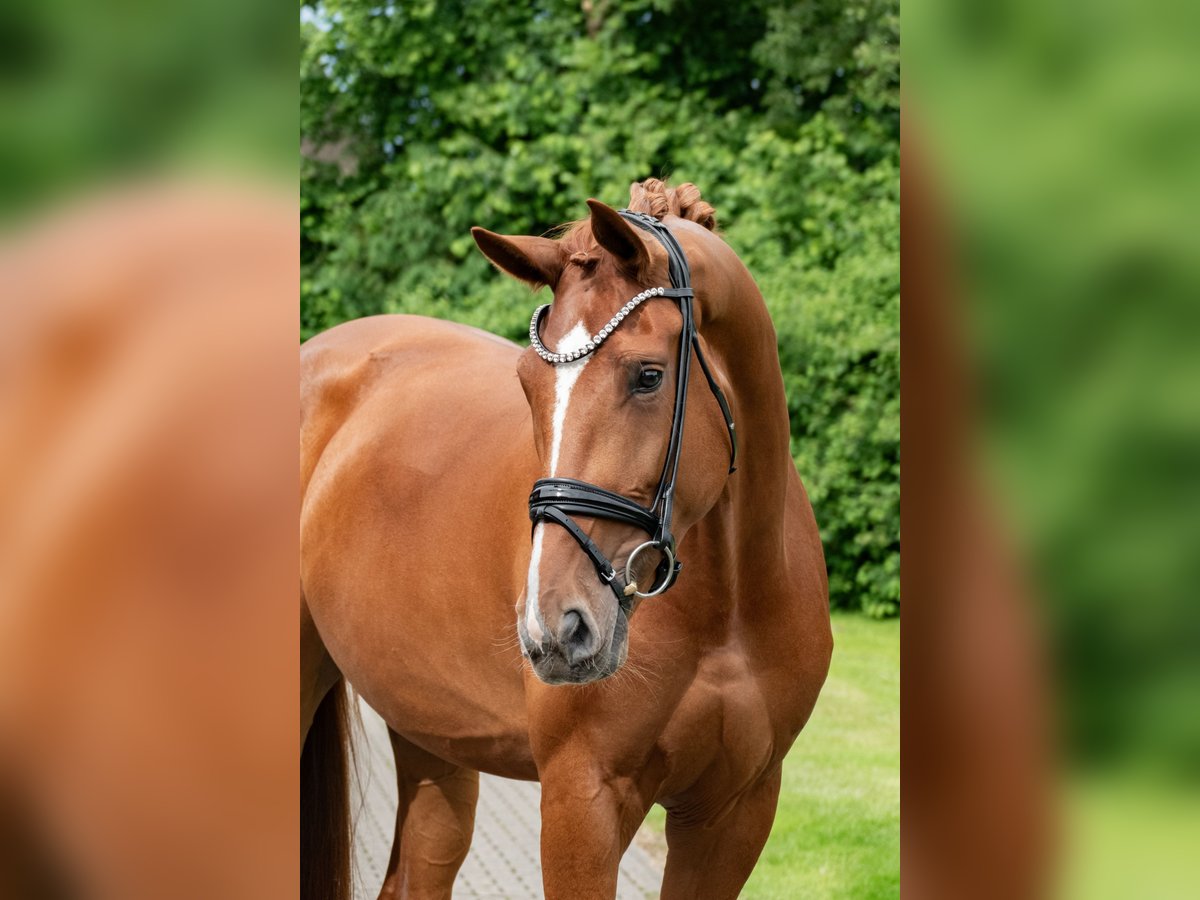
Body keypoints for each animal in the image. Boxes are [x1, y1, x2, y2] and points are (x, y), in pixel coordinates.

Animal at [300, 180, 830, 897]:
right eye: (528, 384)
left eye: (648, 375)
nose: (555, 627)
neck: (730, 606)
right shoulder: (584, 797)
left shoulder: (735, 810)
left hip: (431, 734)